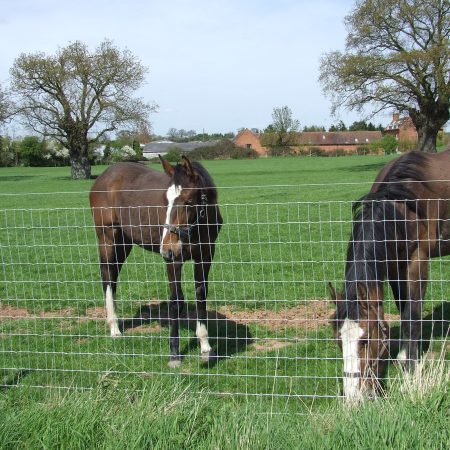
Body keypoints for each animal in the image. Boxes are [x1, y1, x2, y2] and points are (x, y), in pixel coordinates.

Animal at [89, 156, 222, 368]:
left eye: (189, 201)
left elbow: (201, 295)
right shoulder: (174, 261)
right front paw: (174, 354)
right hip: (108, 238)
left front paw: (206, 348)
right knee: (107, 276)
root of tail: (104, 176)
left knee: (113, 275)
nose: (166, 249)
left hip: (125, 242)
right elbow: (176, 301)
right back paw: (114, 328)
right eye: (165, 201)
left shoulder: (206, 256)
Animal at [328, 150, 450, 400]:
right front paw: (404, 357)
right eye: (338, 340)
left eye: (365, 339)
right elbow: (402, 310)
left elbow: (411, 319)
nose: (353, 397)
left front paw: (411, 374)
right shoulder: (394, 266)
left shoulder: (416, 263)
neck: (403, 204)